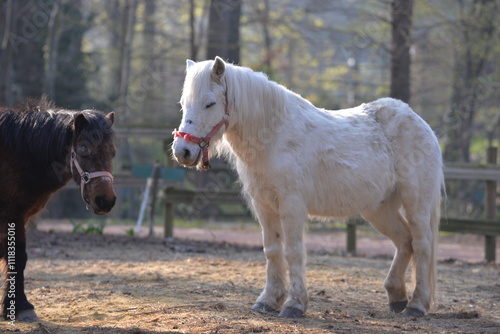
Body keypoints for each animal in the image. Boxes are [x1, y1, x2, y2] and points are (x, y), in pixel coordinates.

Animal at [0, 98, 116, 320]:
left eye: (113, 153)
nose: (105, 201)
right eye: (83, 149)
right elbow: (17, 257)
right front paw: (20, 306)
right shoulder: (12, 216)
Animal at [171, 56, 442, 318]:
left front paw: (294, 305)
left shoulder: (292, 206)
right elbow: (272, 250)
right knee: (405, 241)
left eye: (210, 104)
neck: (274, 136)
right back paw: (397, 298)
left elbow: (293, 252)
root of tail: (420, 123)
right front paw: (267, 301)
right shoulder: (264, 206)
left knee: (422, 245)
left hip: (416, 204)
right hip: (379, 209)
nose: (183, 151)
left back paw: (416, 305)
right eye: (184, 103)